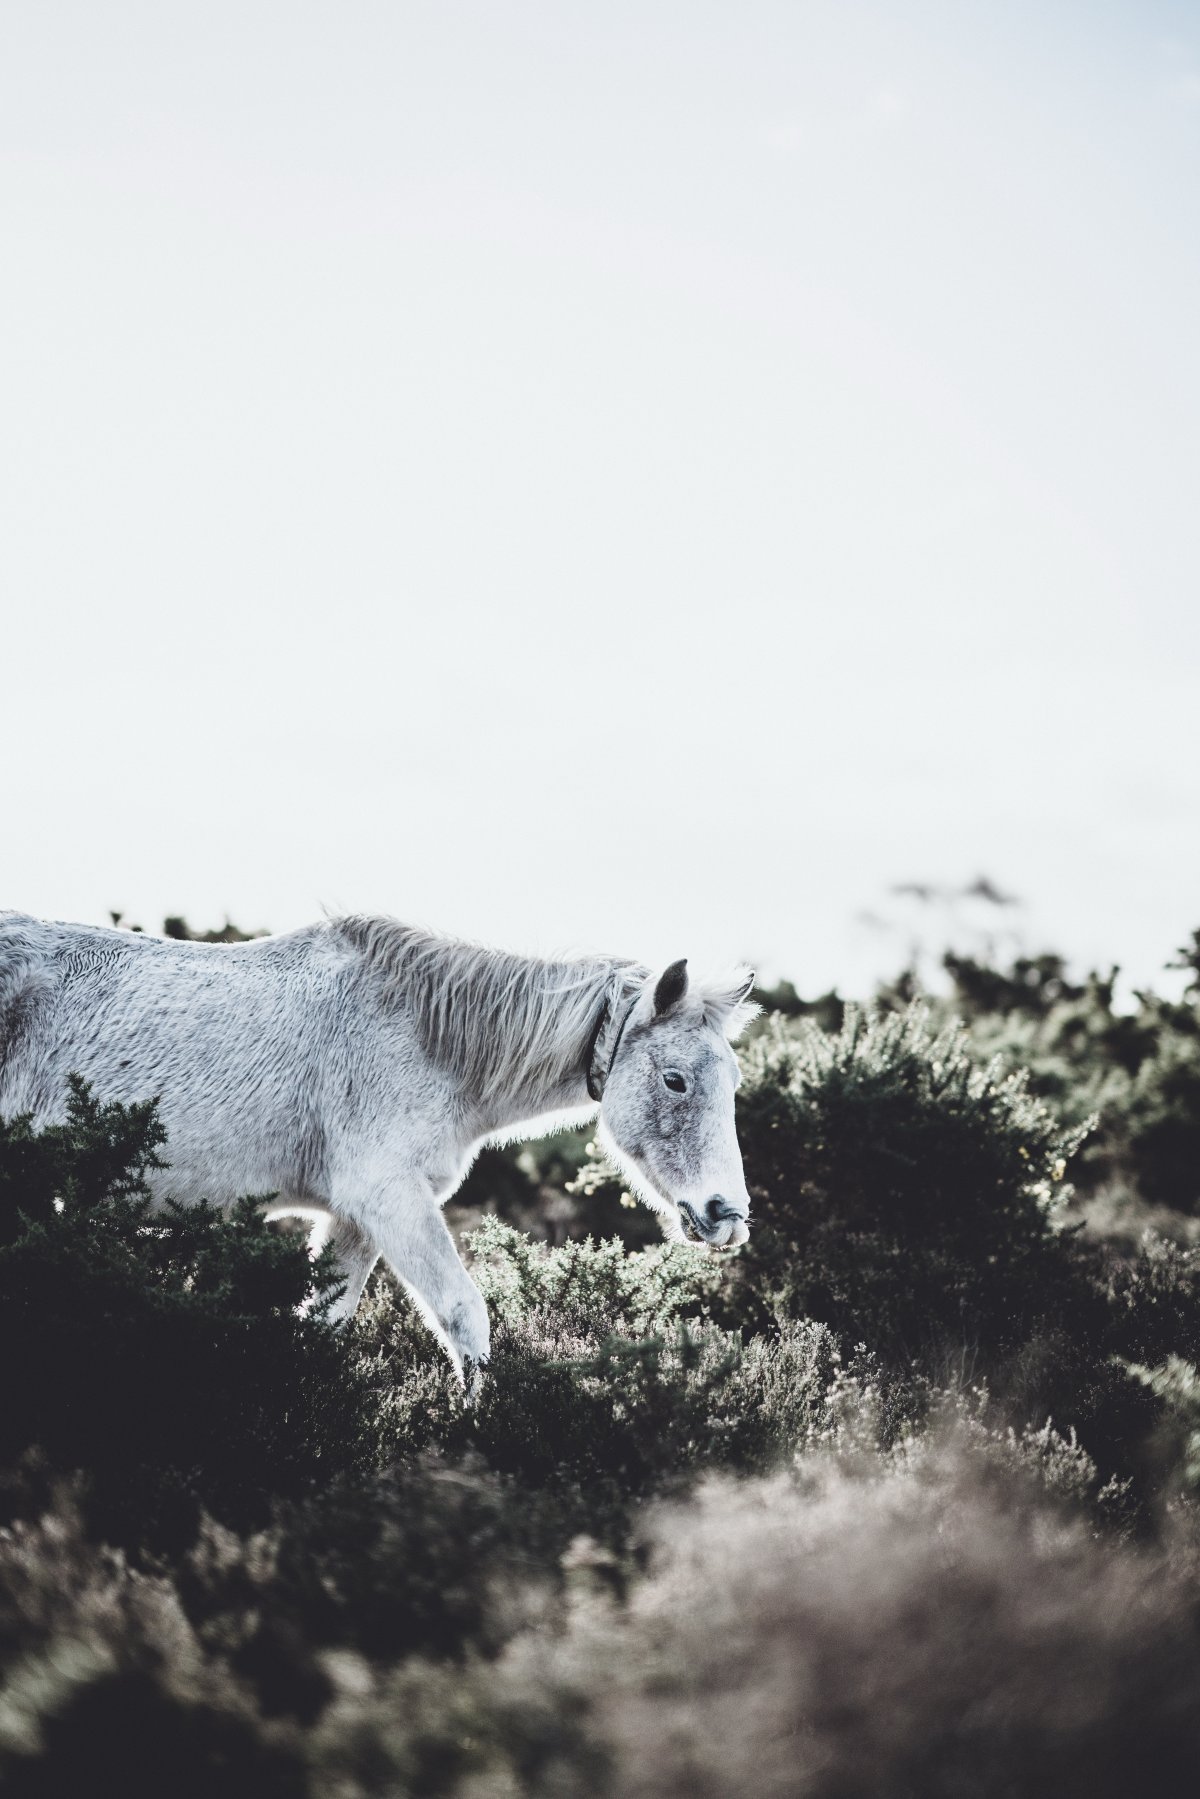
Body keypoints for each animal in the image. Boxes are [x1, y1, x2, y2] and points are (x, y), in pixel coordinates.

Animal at [0, 921, 759, 1381]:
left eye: (734, 1080)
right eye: (675, 1079)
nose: (727, 1214)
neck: (427, 1038)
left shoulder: (356, 1219)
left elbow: (322, 1325)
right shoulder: (391, 1200)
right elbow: (464, 1318)